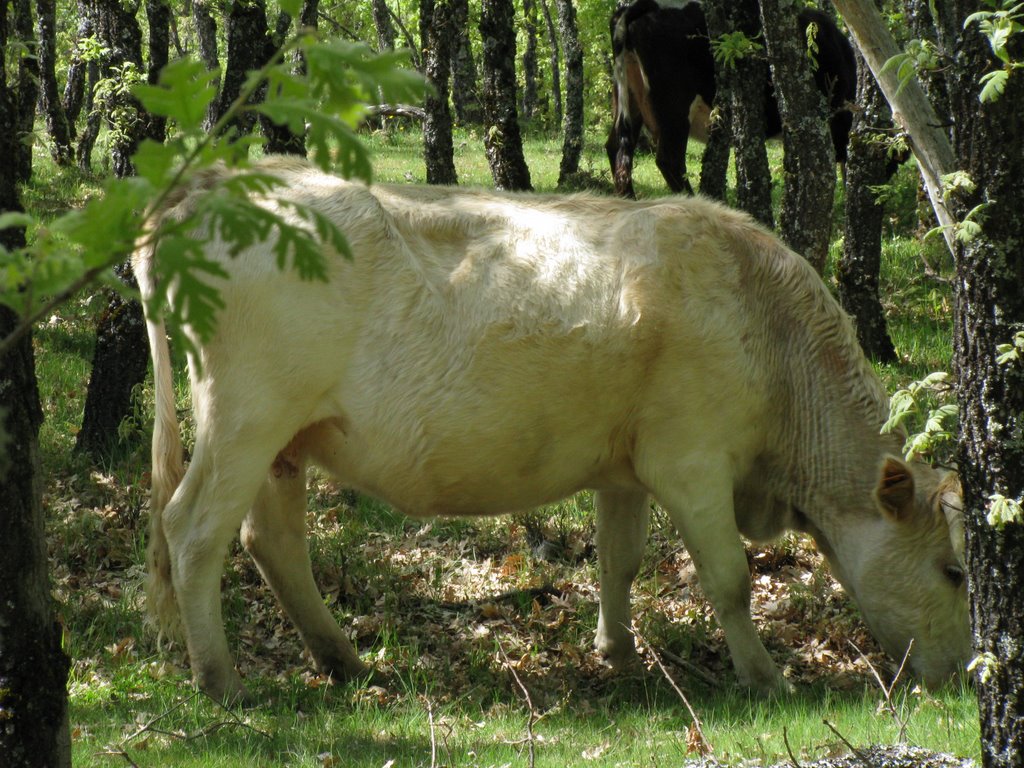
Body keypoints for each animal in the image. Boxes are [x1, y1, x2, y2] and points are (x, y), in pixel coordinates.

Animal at [134, 156, 966, 704]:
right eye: (956, 571)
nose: (960, 678)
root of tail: (214, 183)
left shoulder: (628, 464)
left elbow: (619, 561)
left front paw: (619, 654)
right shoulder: (692, 460)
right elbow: (729, 577)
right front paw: (767, 680)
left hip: (284, 439)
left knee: (270, 541)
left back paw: (344, 662)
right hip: (244, 416)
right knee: (193, 530)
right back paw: (223, 681)